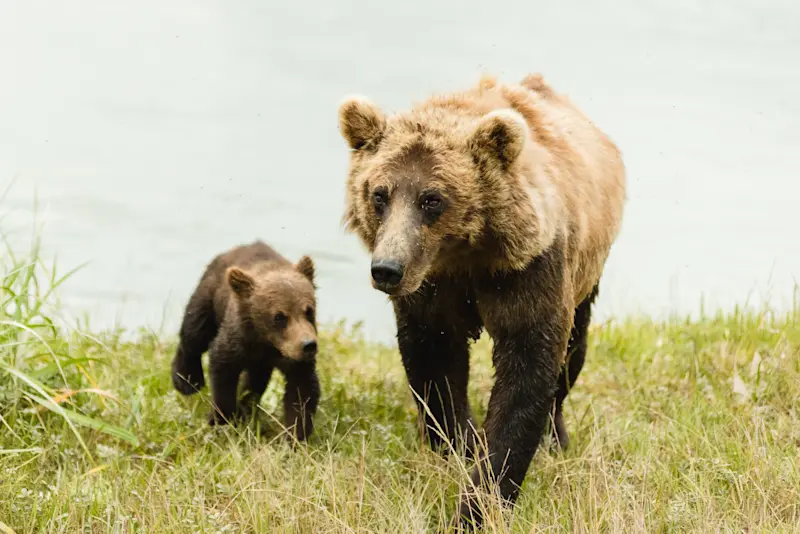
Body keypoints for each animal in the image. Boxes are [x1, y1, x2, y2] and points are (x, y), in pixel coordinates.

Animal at [170, 240, 321, 442]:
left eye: (309, 310)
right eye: (279, 316)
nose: (308, 345)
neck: (266, 341)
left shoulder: (293, 360)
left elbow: (302, 391)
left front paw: (294, 436)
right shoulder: (237, 340)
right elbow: (223, 371)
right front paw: (223, 419)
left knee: (256, 379)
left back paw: (247, 405)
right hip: (209, 293)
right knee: (194, 331)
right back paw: (187, 381)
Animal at [336, 72, 626, 527]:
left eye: (432, 198)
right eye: (379, 194)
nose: (386, 269)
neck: (465, 255)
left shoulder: (528, 271)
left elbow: (528, 372)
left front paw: (478, 504)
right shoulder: (434, 287)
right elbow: (434, 364)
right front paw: (461, 442)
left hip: (587, 272)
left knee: (573, 353)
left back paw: (556, 435)